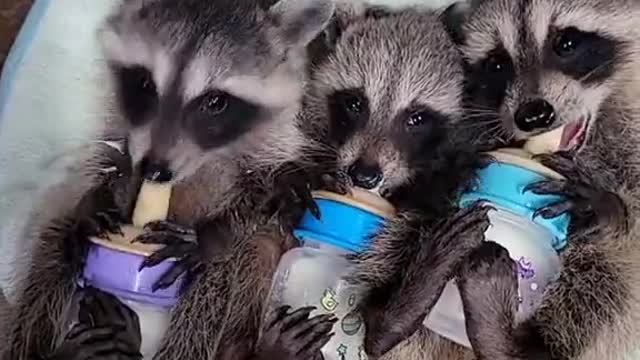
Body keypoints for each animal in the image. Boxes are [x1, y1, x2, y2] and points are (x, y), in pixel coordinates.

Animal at [2, 0, 336, 360]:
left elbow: (264, 196)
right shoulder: (119, 127)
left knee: (211, 286)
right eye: (146, 84)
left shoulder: (275, 143)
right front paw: (98, 197)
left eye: (215, 101)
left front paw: (211, 233)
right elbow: (102, 160)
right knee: (55, 242)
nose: (153, 170)